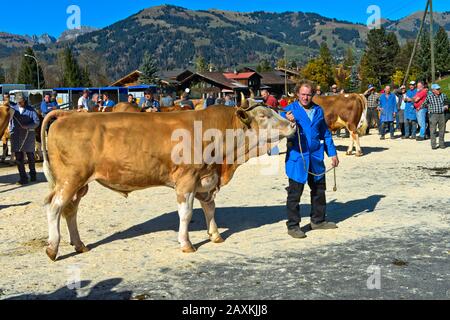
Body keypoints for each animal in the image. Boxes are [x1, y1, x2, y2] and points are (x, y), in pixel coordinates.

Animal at [41, 99, 296, 260]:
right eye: (263, 115)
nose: (293, 124)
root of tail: (68, 114)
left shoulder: (205, 179)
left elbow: (210, 208)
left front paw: (215, 235)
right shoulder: (186, 179)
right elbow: (186, 214)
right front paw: (186, 243)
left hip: (80, 184)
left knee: (70, 210)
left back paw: (79, 244)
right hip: (70, 178)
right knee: (54, 207)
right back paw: (53, 248)